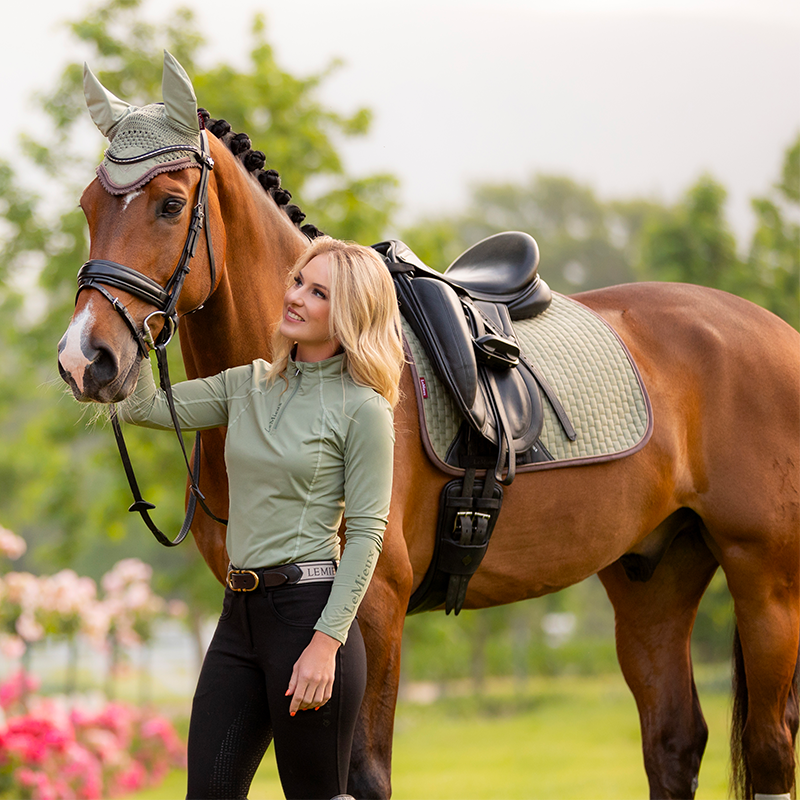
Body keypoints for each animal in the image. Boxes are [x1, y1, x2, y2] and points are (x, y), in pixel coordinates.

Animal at [57, 57, 800, 800]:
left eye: (169, 205)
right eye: (89, 207)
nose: (84, 359)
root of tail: (775, 331)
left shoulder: (373, 609)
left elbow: (363, 774)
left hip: (766, 583)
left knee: (769, 747)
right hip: (654, 577)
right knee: (674, 741)